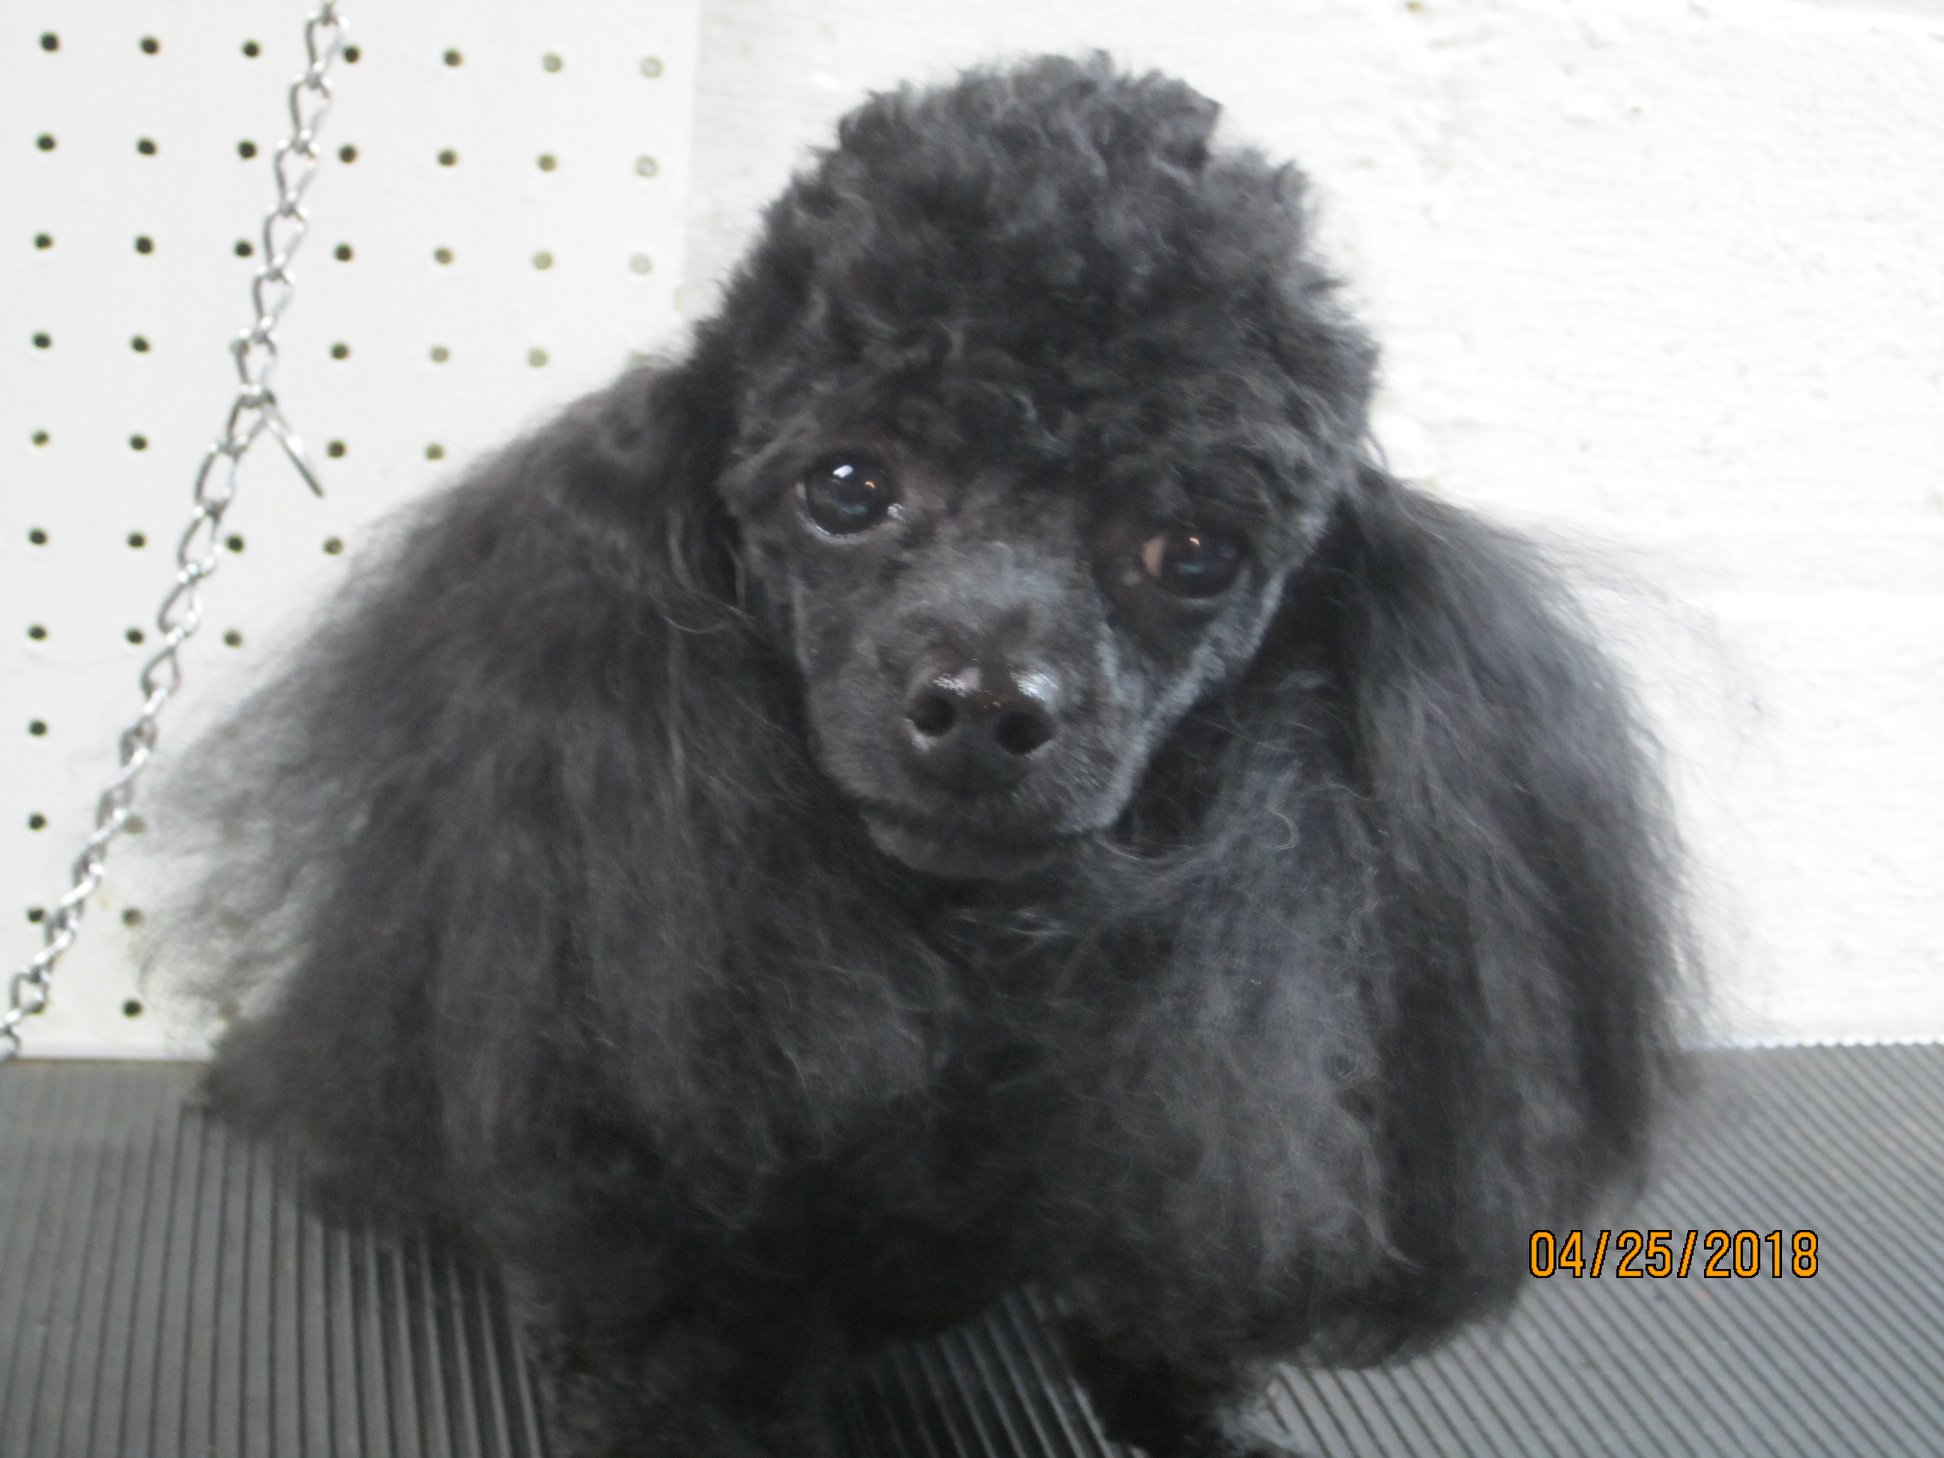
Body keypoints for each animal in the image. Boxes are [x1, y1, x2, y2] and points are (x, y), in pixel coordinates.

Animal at [170, 53, 1687, 1458]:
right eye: (847, 487)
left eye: (1194, 551)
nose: (985, 704)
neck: (957, 959)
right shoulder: (651, 1210)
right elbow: (671, 1356)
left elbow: (1166, 1312)